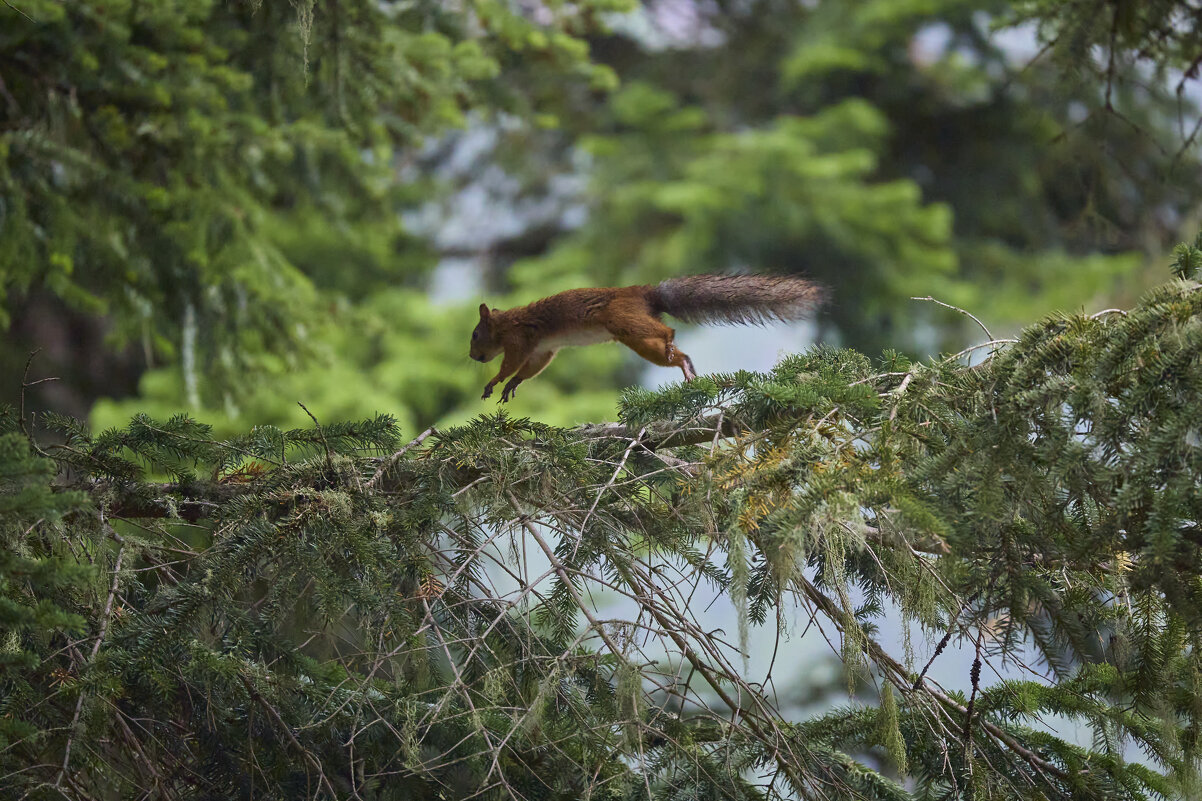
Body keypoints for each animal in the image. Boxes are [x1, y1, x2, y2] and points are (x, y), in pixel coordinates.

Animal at [469, 274, 823, 402]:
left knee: (667, 332)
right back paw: (686, 369)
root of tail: (644, 293)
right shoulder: (544, 349)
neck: (504, 324)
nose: (473, 356)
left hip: (623, 321)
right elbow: (530, 369)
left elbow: (510, 364)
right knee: (677, 354)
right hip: (635, 337)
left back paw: (671, 343)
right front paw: (513, 385)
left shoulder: (519, 340)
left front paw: (494, 382)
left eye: (475, 335)